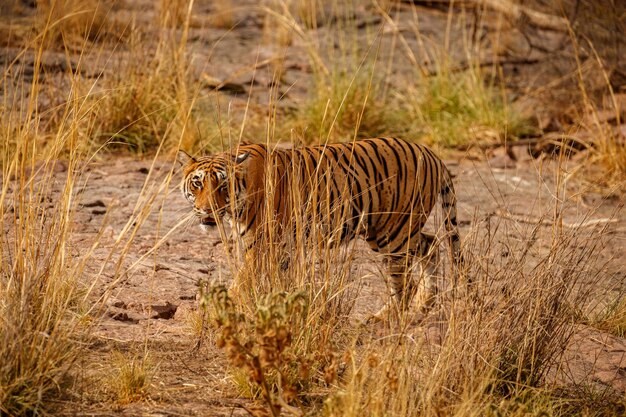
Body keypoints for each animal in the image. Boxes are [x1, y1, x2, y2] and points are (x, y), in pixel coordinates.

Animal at [178, 136, 460, 318]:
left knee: (405, 281)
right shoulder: (279, 247)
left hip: (393, 230)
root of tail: (432, 153)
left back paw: (383, 319)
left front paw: (220, 309)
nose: (208, 210)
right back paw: (422, 307)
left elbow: (242, 281)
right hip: (397, 229)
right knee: (431, 244)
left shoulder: (259, 246)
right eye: (198, 183)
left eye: (223, 185)